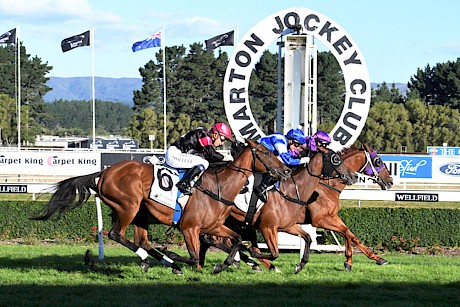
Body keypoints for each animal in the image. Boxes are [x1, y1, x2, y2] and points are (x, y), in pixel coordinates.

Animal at [30, 138, 292, 276]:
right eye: (266, 152)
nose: (287, 170)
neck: (220, 186)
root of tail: (103, 172)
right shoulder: (189, 228)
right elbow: (194, 256)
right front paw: (173, 254)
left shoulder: (214, 226)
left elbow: (237, 241)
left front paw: (222, 265)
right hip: (129, 206)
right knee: (116, 234)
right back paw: (154, 259)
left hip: (140, 213)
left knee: (140, 240)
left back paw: (158, 261)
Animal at [200, 143, 392, 274]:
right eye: (378, 161)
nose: (390, 181)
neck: (325, 185)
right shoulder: (320, 219)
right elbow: (347, 233)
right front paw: (354, 260)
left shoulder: (331, 216)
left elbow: (349, 234)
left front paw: (368, 259)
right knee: (216, 240)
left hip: (237, 221)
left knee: (215, 240)